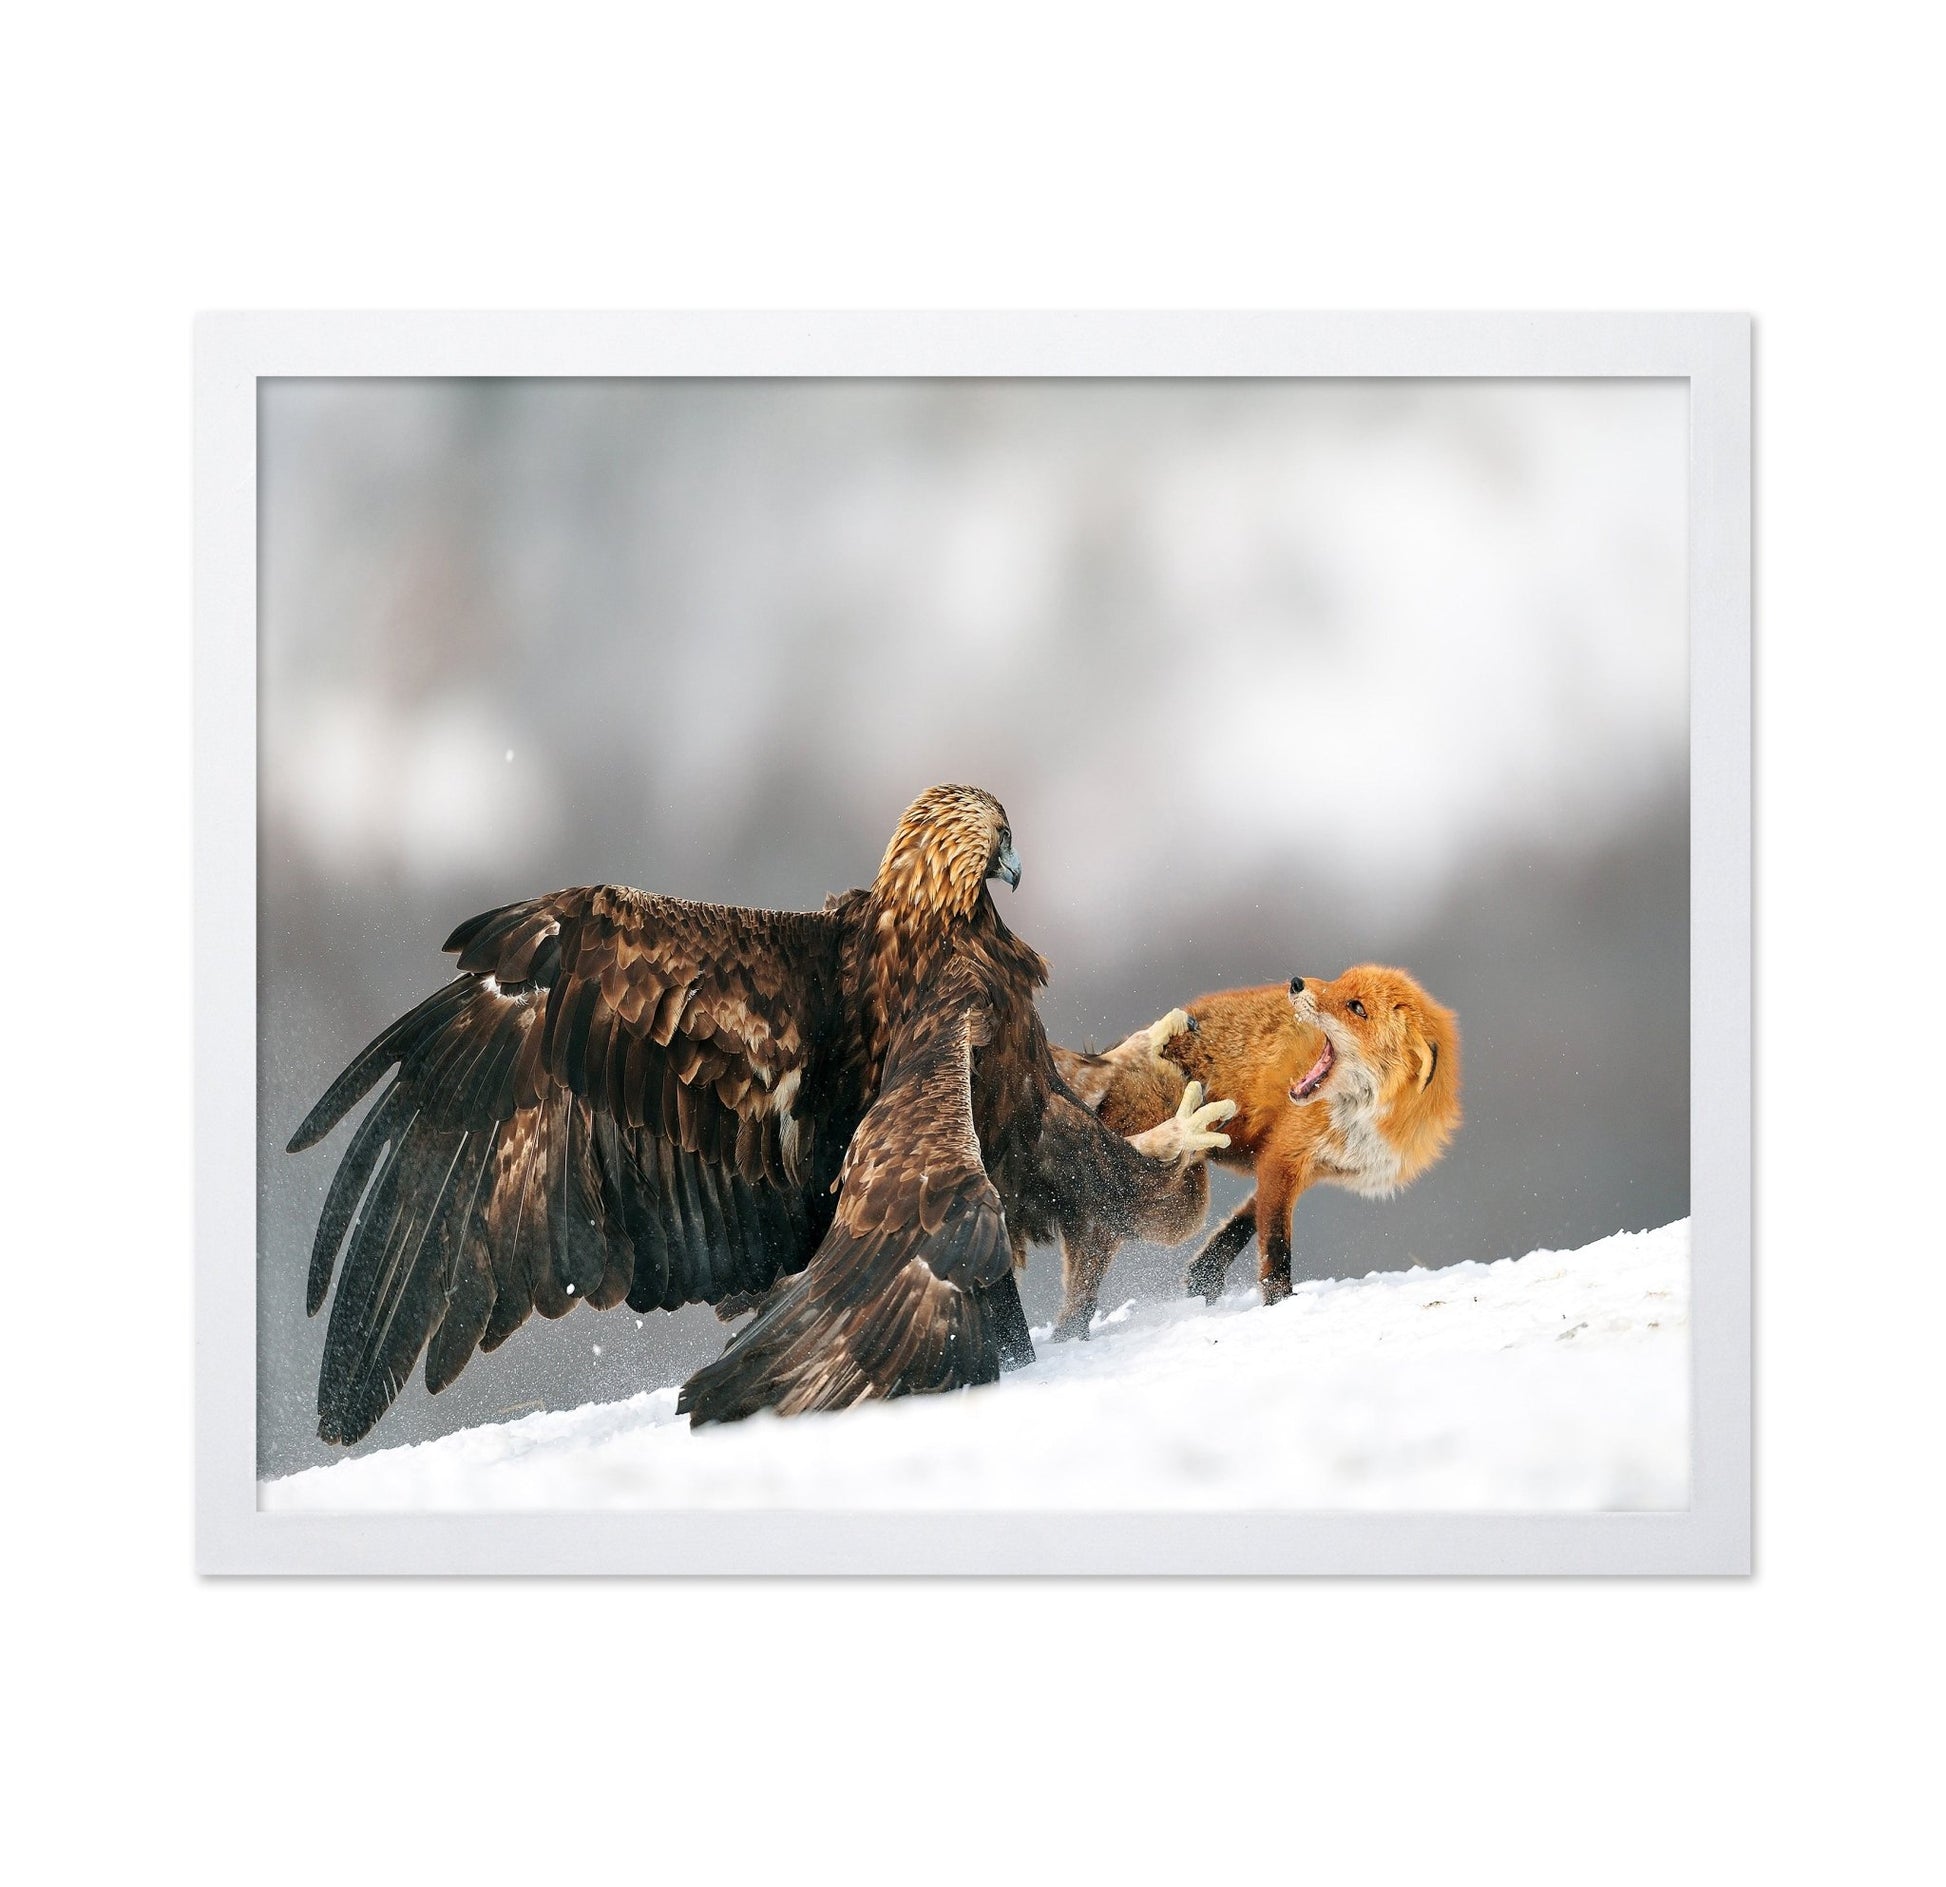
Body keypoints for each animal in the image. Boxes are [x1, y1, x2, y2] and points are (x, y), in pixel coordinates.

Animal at [1051, 966, 1460, 1337]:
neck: (1364, 1121)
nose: (1295, 983)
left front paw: (1205, 1276)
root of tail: (1104, 1061)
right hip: (1179, 1206)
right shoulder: (1285, 1156)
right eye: (1339, 981)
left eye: (1357, 1007)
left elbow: (1243, 1222)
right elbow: (1276, 1244)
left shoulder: (1294, 1163)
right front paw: (1279, 1304)